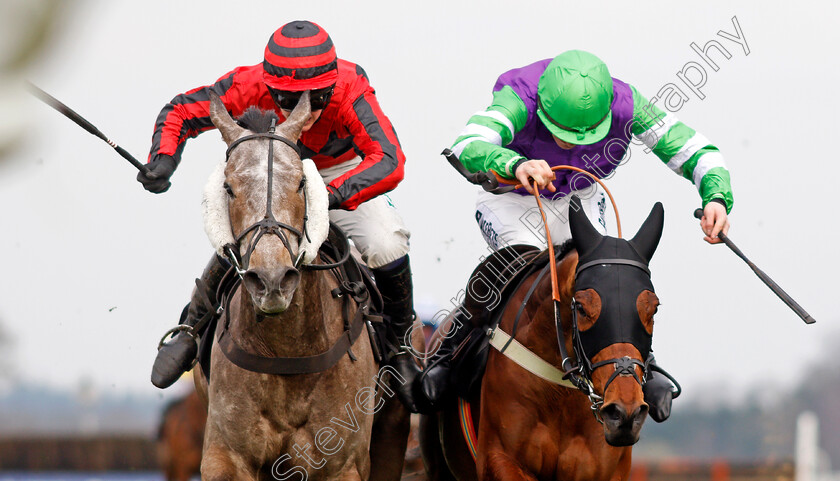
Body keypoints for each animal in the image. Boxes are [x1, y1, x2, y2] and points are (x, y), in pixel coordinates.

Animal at [194, 91, 410, 480]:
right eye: (228, 187)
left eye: (300, 183)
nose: (272, 280)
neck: (286, 351)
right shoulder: (226, 456)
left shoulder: (343, 464)